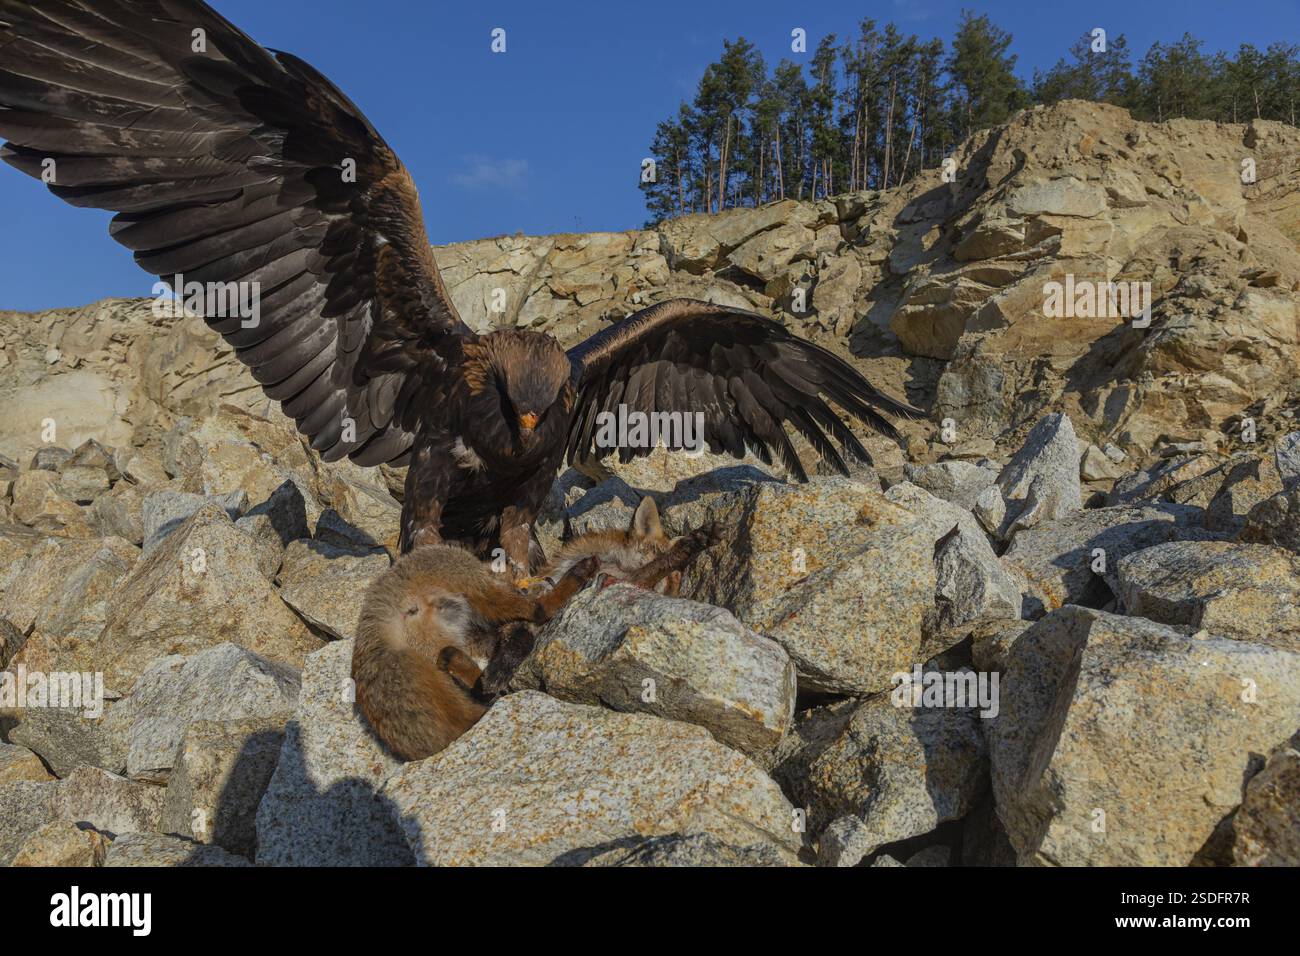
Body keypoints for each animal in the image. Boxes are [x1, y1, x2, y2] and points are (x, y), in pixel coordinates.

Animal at [352, 497, 716, 761]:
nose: (667, 596)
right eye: (672, 584)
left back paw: (462, 664)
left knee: (483, 694)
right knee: (537, 610)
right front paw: (688, 547)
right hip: (465, 570)